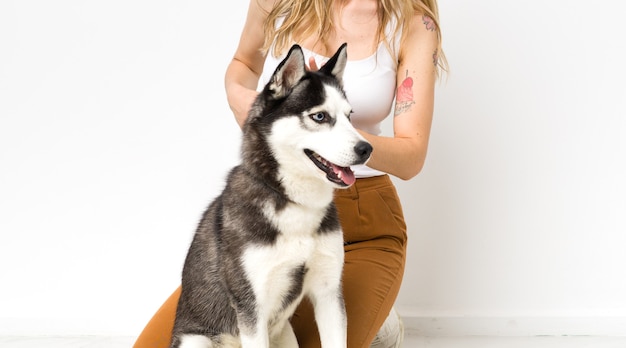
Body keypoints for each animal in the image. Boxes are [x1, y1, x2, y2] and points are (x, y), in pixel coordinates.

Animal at [169, 44, 370, 348]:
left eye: (350, 116)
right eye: (320, 116)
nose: (367, 148)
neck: (296, 204)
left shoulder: (328, 292)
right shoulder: (252, 307)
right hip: (196, 340)